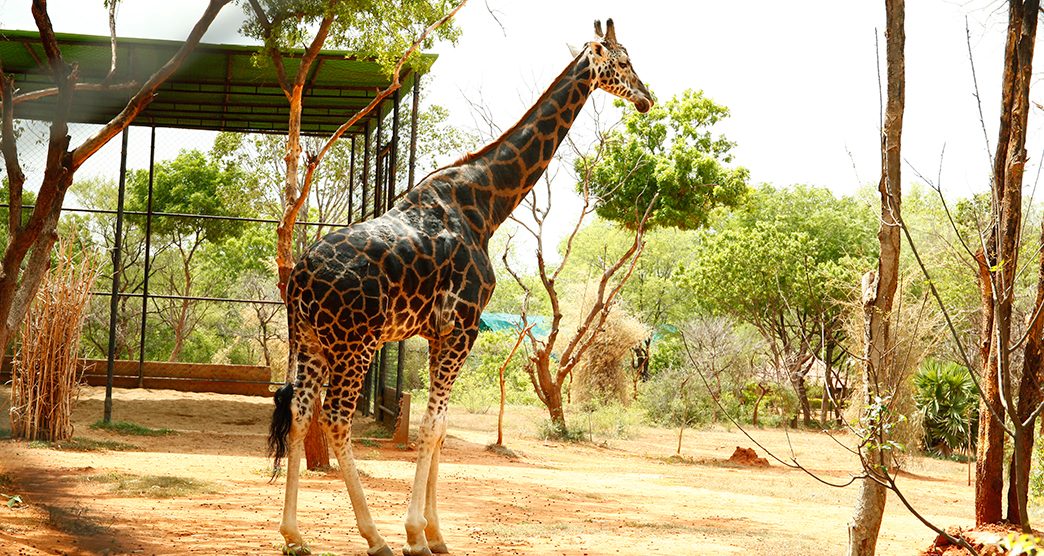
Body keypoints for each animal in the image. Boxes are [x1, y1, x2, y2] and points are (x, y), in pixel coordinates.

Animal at [269, 17, 655, 554]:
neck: (485, 205)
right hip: (354, 343)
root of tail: (300, 276)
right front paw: (415, 534)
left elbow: (441, 425)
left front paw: (436, 534)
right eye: (622, 62)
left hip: (308, 340)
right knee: (337, 420)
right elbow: (432, 426)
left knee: (302, 412)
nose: (647, 98)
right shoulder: (462, 327)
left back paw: (294, 536)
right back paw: (375, 537)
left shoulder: (439, 332)